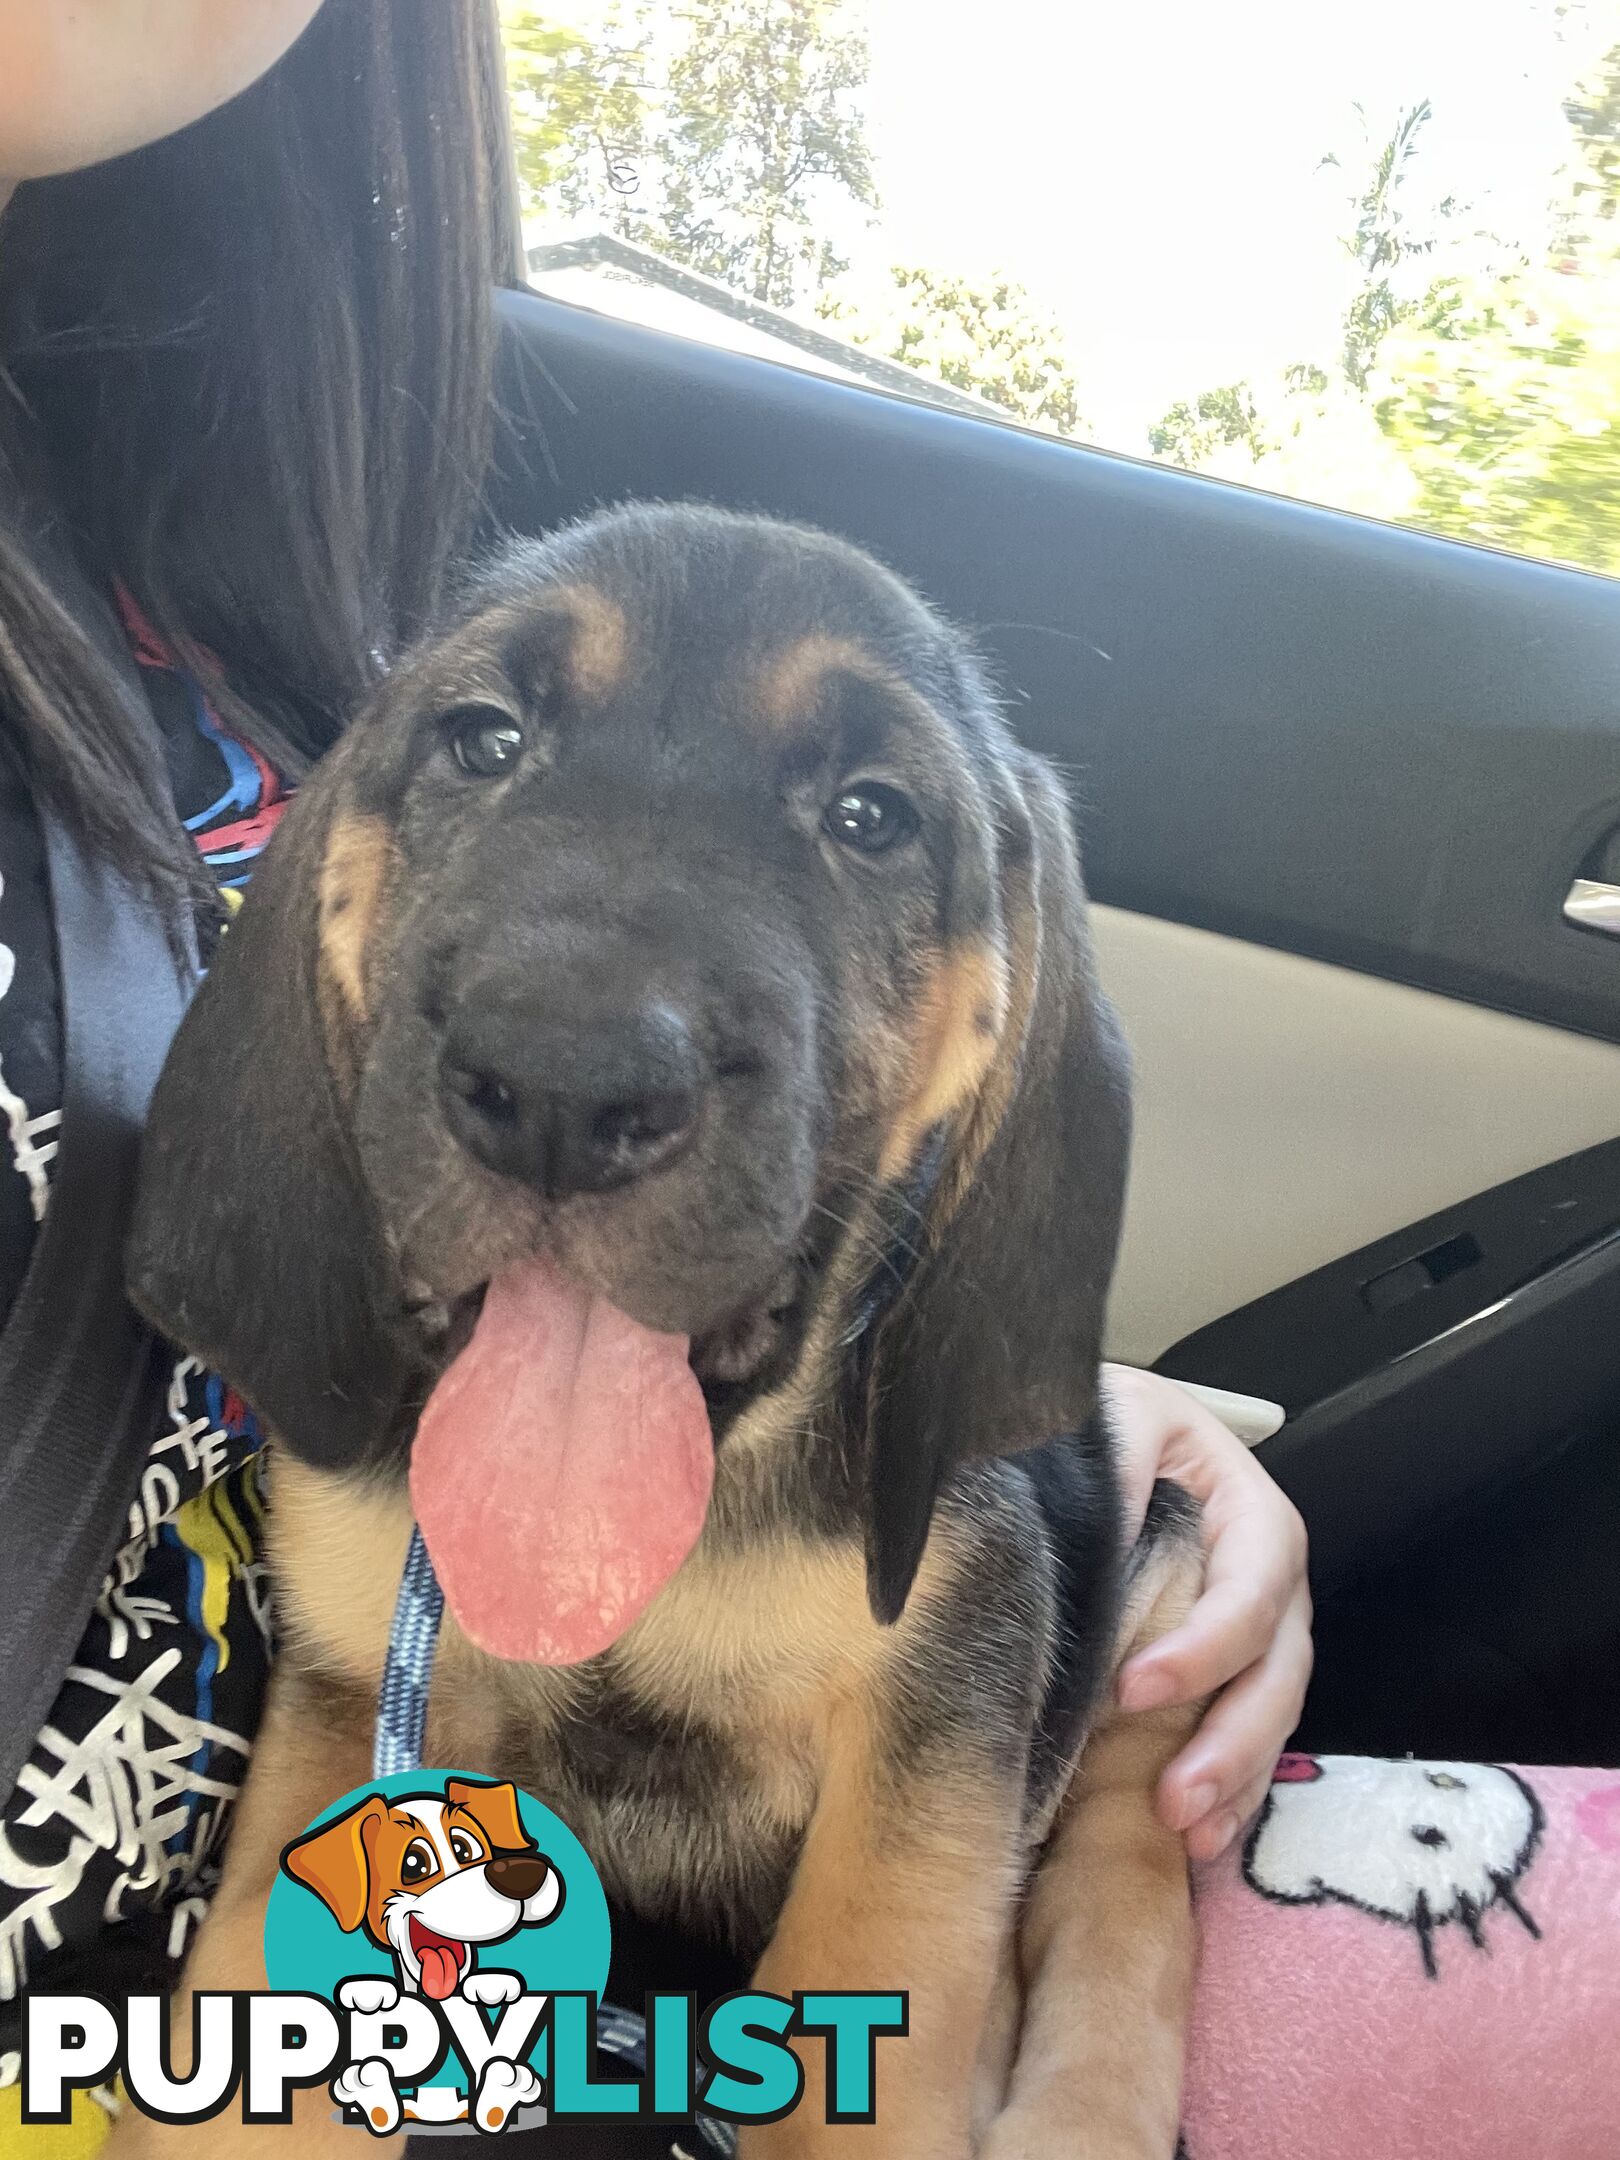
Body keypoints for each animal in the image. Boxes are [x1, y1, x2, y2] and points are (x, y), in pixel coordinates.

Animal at [123, 509, 1209, 2160]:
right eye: (484, 741)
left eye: (873, 817)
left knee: (1132, 1834)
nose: (563, 1086)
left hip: (1163, 1563)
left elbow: (877, 2015)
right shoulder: (355, 1689)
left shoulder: (936, 1720)